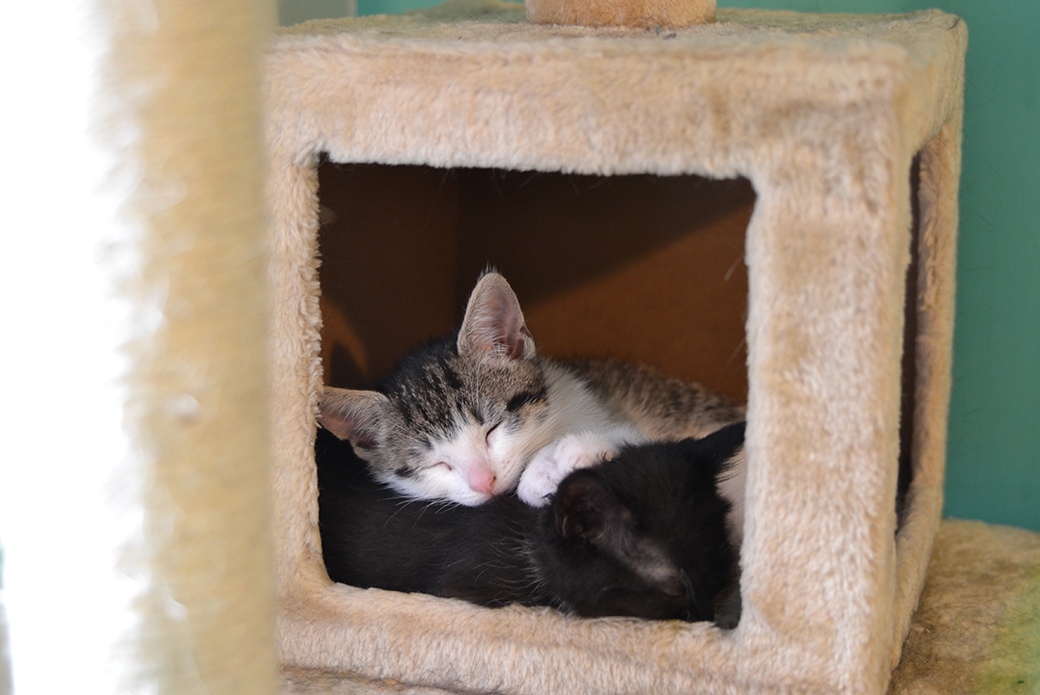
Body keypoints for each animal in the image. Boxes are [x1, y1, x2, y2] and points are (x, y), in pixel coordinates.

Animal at [316, 270, 740, 505]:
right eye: (435, 464)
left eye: (492, 429)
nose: (483, 483)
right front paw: (543, 473)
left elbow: (647, 442)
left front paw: (565, 455)